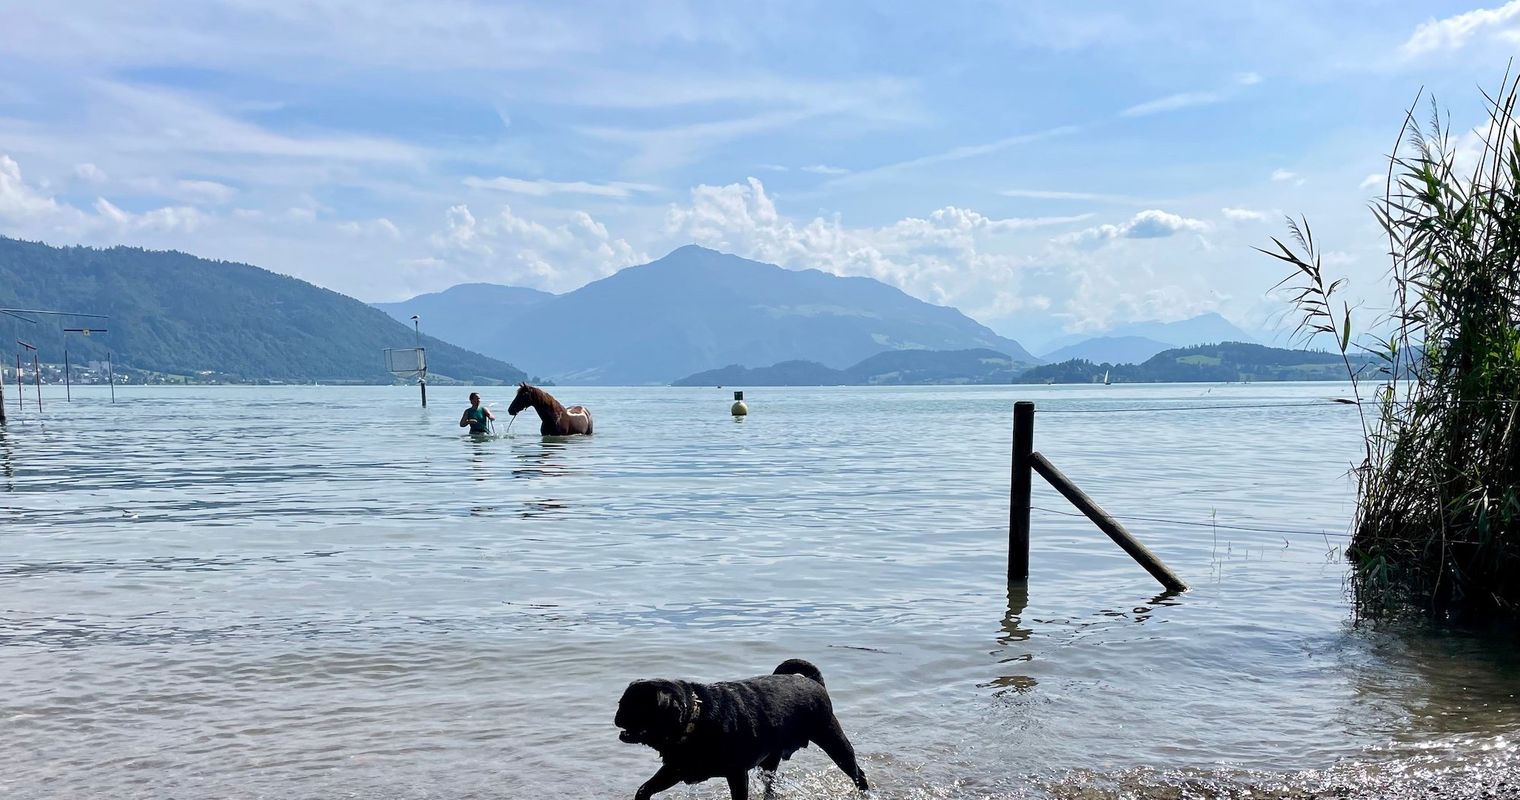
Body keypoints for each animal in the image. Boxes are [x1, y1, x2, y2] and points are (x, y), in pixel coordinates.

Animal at [611, 663, 869, 796]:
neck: (696, 719)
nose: (618, 715)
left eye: (635, 707)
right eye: (622, 703)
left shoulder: (736, 774)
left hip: (833, 740)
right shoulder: (674, 769)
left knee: (858, 773)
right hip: (770, 761)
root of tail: (813, 681)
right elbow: (645, 789)